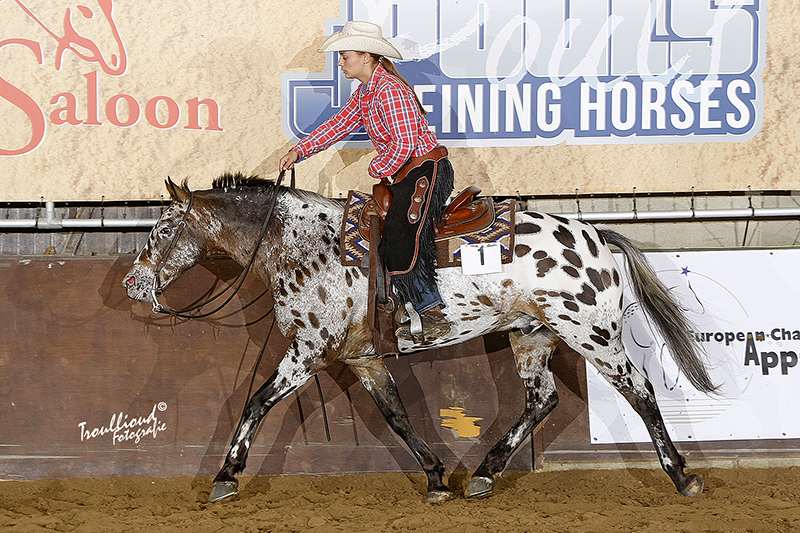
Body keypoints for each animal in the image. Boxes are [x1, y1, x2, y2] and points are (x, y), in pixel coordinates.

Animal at [123, 174, 712, 502]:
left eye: (162, 228)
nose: (132, 283)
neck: (299, 245)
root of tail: (594, 234)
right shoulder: (361, 359)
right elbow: (397, 416)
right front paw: (435, 479)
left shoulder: (308, 352)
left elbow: (255, 402)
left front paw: (226, 475)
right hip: (532, 337)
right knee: (542, 401)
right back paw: (484, 475)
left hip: (591, 334)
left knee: (642, 391)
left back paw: (682, 477)